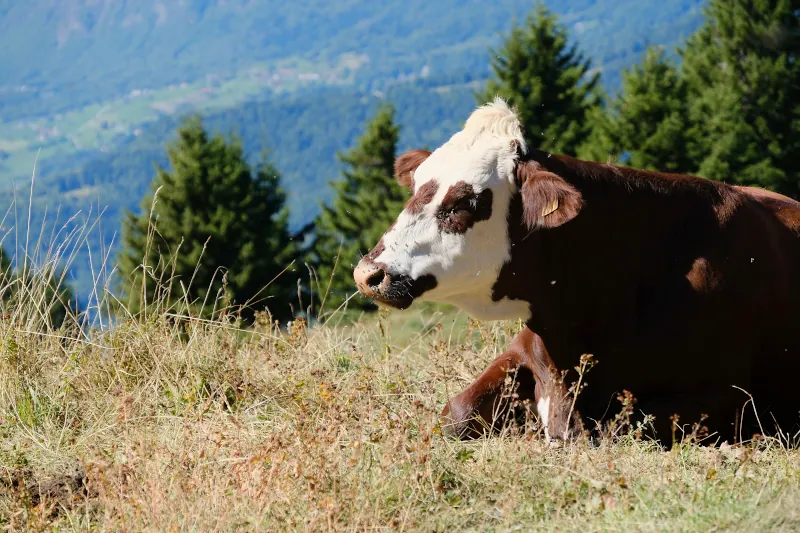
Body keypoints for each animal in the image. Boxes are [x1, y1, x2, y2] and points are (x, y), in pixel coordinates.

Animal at [352, 98, 800, 445]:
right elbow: (457, 412)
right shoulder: (526, 346)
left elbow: (622, 425)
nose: (368, 273)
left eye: (465, 203)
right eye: (415, 189)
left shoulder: (730, 394)